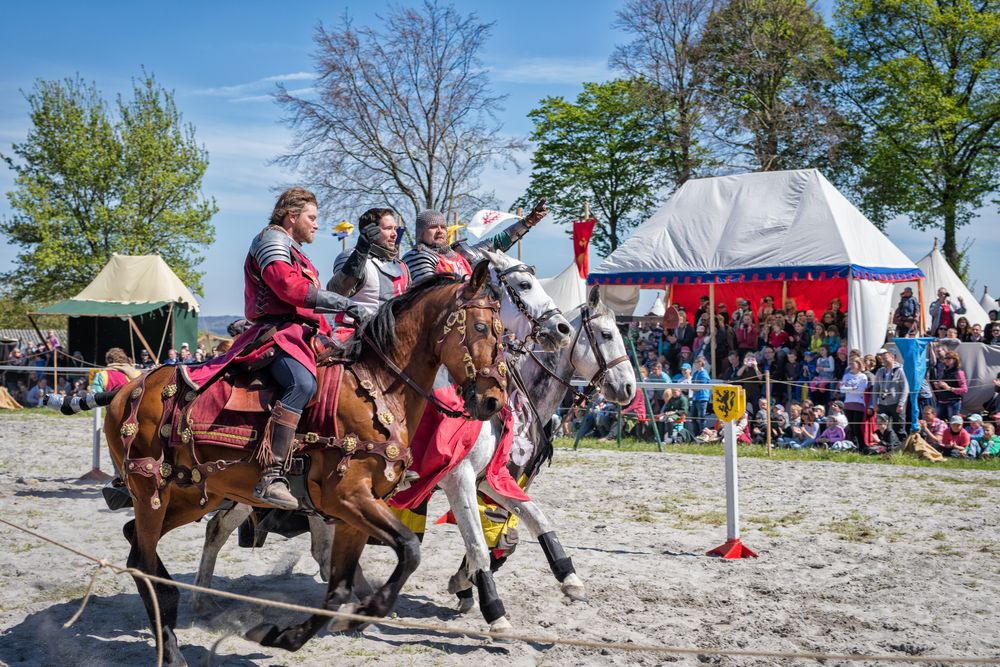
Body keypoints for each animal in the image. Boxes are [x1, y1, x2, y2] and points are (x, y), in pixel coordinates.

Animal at [102, 264, 508, 664]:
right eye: (481, 328)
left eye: (502, 331)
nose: (492, 401)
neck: (378, 386)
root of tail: (126, 390)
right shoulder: (349, 497)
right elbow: (409, 549)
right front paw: (366, 611)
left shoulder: (354, 510)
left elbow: (339, 588)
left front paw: (286, 635)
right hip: (151, 491)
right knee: (142, 561)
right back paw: (171, 649)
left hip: (193, 494)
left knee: (137, 542)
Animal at [189, 250, 572, 616]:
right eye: (524, 285)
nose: (562, 328)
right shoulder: (456, 477)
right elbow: (478, 544)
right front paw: (488, 604)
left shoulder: (486, 477)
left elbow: (533, 517)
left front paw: (567, 576)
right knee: (220, 527)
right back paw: (205, 598)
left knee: (312, 547)